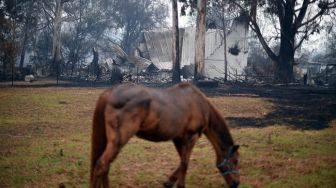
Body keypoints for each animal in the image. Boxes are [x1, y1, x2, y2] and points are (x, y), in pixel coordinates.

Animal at [90, 82, 240, 188]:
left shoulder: (178, 138)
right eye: (235, 161)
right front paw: (180, 185)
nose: (236, 184)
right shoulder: (191, 137)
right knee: (101, 165)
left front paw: (169, 182)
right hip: (118, 141)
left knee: (105, 167)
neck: (200, 104)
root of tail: (110, 92)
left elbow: (182, 161)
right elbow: (185, 163)